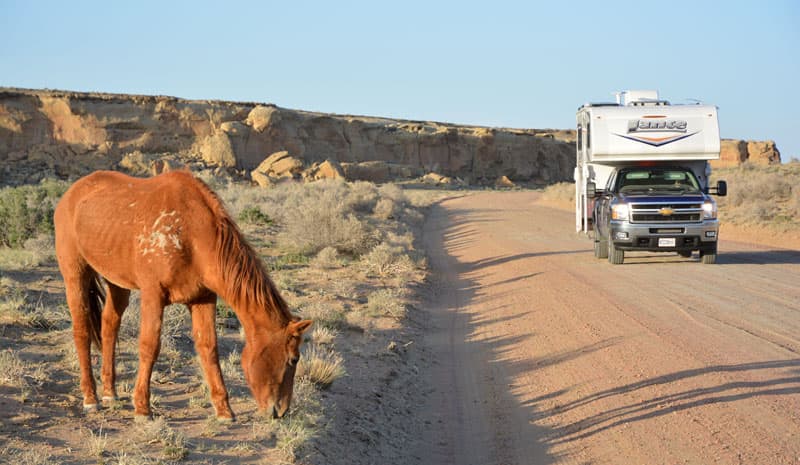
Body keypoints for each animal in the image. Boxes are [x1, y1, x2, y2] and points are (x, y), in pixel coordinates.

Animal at [55, 170, 312, 420]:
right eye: (293, 359)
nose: (280, 411)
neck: (190, 235)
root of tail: (70, 194)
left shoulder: (203, 298)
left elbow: (209, 347)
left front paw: (224, 410)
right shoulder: (153, 295)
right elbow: (149, 346)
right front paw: (142, 408)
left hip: (117, 283)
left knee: (109, 327)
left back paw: (110, 393)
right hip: (75, 275)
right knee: (82, 331)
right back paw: (91, 398)